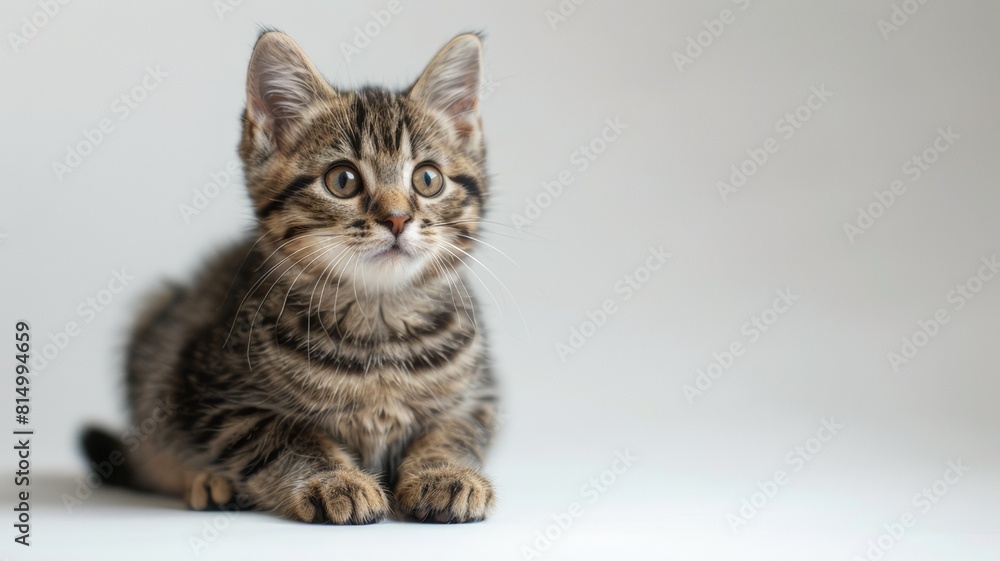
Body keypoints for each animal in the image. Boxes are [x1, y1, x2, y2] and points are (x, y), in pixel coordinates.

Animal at [84, 29, 498, 520]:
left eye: (428, 179)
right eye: (343, 180)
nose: (397, 218)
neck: (379, 327)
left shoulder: (479, 396)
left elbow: (455, 430)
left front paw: (445, 473)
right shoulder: (213, 395)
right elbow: (286, 436)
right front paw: (335, 480)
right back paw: (210, 484)